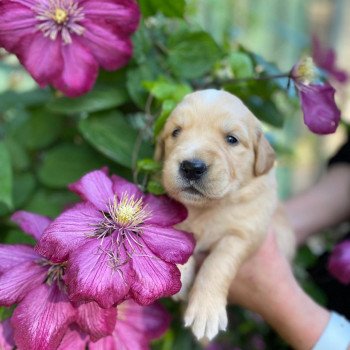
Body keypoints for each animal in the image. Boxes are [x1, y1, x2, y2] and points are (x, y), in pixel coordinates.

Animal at [156, 89, 296, 340]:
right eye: (176, 132)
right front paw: (182, 271)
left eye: (231, 139)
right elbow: (177, 233)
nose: (191, 167)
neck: (208, 207)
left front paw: (206, 310)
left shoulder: (245, 234)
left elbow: (218, 263)